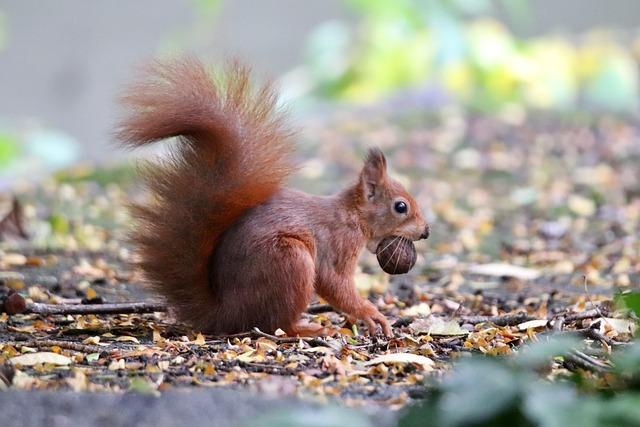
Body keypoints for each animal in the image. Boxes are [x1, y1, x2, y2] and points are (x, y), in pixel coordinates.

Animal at [119, 56, 430, 338]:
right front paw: (370, 314)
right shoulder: (337, 244)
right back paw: (309, 329)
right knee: (277, 324)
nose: (426, 231)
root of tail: (225, 313)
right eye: (400, 206)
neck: (353, 215)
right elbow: (334, 283)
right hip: (290, 261)